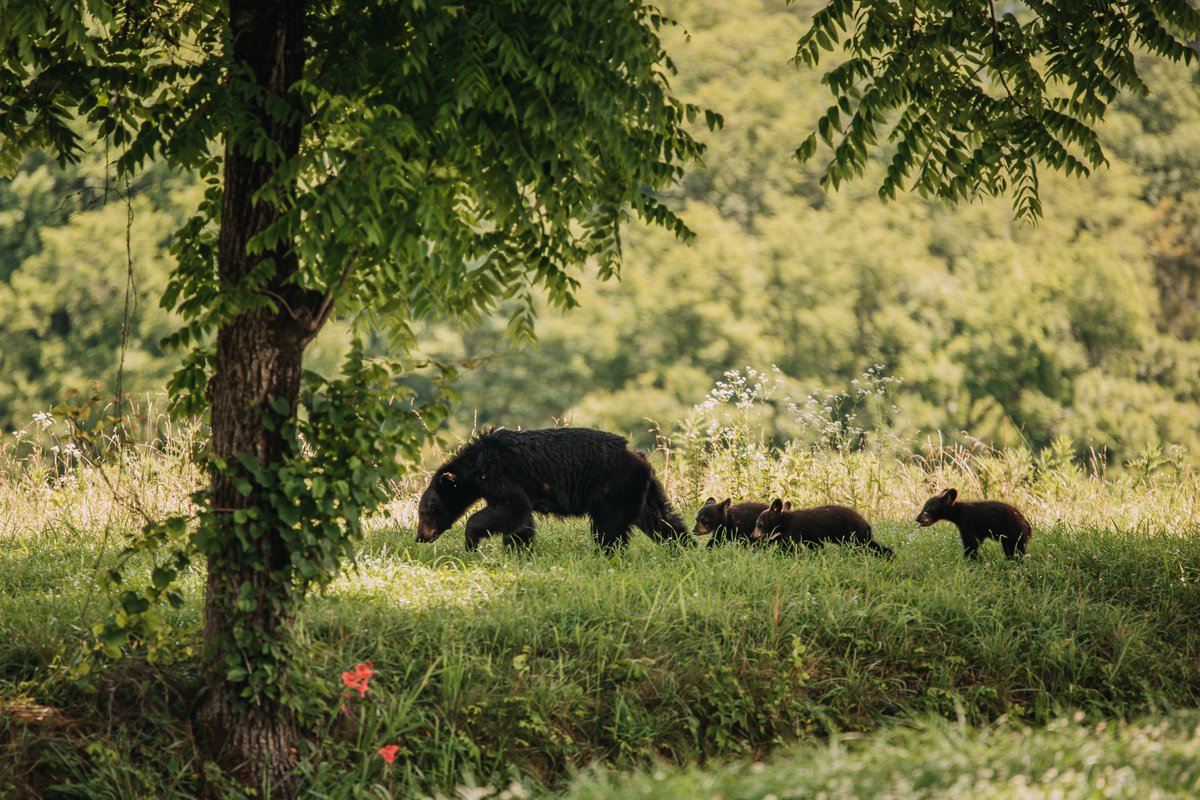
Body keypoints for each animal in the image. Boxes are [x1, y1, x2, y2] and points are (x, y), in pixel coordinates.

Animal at [415, 429, 691, 554]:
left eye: (427, 511)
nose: (420, 537)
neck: (475, 466)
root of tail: (640, 458)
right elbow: (521, 520)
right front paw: (518, 549)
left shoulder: (499, 474)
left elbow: (512, 507)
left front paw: (471, 541)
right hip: (643, 491)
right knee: (661, 519)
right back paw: (684, 545)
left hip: (612, 488)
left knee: (608, 528)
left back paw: (606, 554)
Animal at [748, 501, 892, 556]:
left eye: (759, 523)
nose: (752, 535)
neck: (785, 521)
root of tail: (866, 523)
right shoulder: (809, 536)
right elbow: (816, 545)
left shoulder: (795, 530)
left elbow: (789, 544)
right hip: (860, 536)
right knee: (873, 546)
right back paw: (889, 555)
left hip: (853, 534)